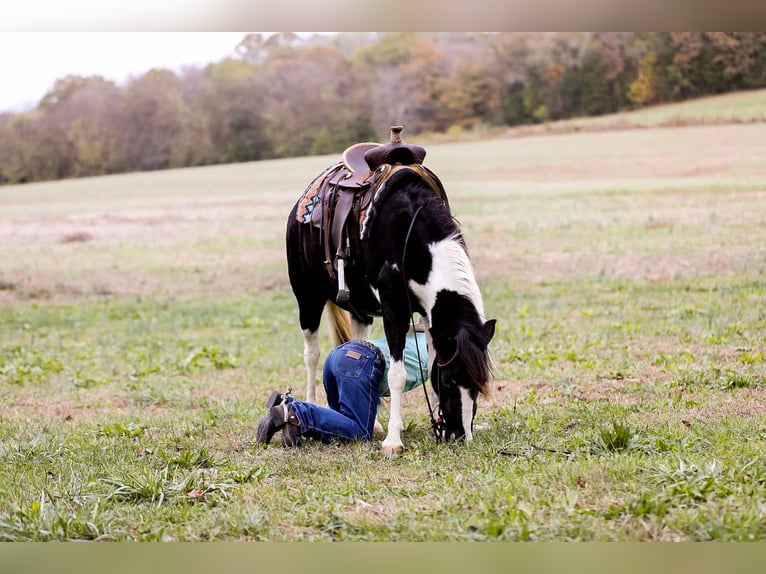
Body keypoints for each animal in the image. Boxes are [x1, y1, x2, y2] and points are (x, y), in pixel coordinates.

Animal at [285, 126, 496, 454]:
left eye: (477, 383)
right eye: (449, 381)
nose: (462, 435)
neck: (410, 230)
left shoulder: (429, 316)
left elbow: (428, 361)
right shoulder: (394, 307)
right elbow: (396, 374)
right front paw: (394, 441)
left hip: (359, 307)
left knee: (357, 341)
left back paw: (371, 424)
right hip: (307, 297)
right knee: (312, 353)